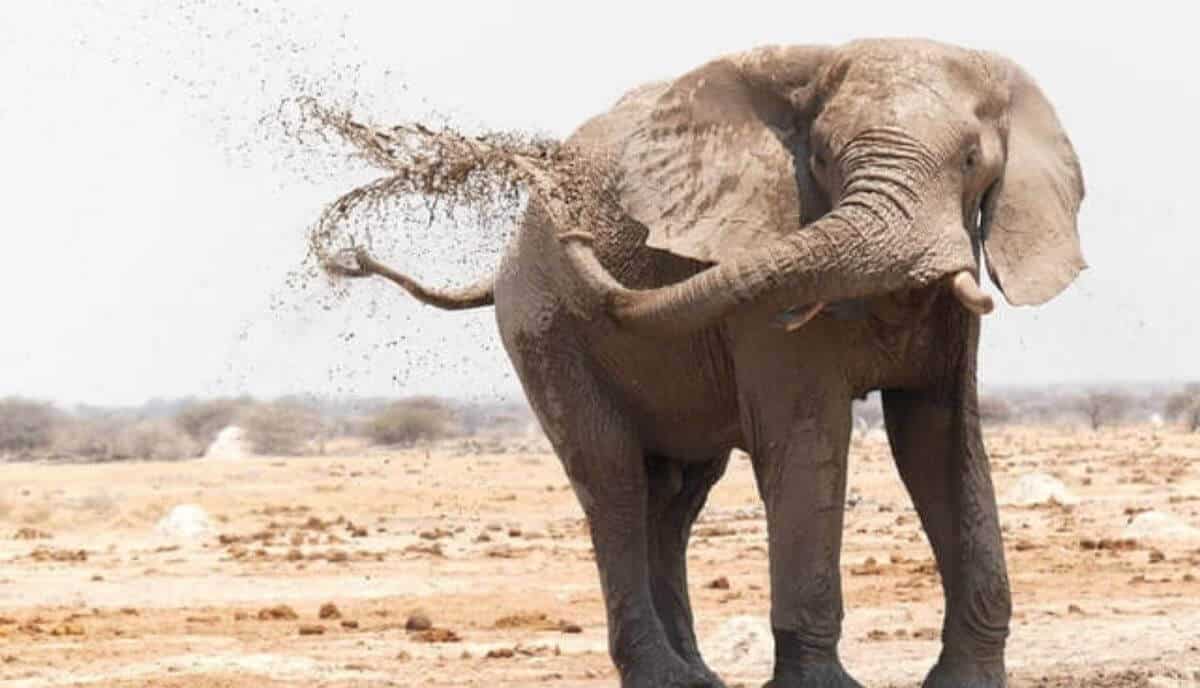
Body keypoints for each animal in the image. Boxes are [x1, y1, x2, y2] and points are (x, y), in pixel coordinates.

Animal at [328, 38, 1084, 687]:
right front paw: (822, 686)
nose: (576, 232)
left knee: (674, 498)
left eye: (971, 161)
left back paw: (698, 676)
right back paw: (663, 676)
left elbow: (940, 441)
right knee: (614, 483)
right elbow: (808, 437)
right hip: (543, 329)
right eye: (821, 162)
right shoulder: (763, 275)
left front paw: (965, 682)